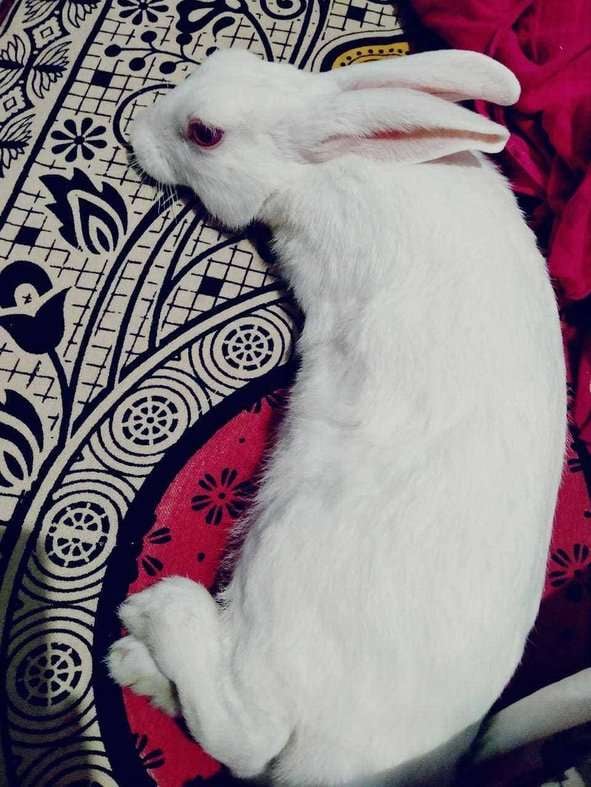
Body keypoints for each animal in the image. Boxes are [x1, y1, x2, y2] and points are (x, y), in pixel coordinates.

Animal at [107, 48, 568, 786]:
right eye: (223, 57)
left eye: (205, 133)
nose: (135, 129)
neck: (327, 165)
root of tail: (345, 765)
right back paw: (136, 667)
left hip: (279, 566)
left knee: (248, 732)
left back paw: (153, 615)